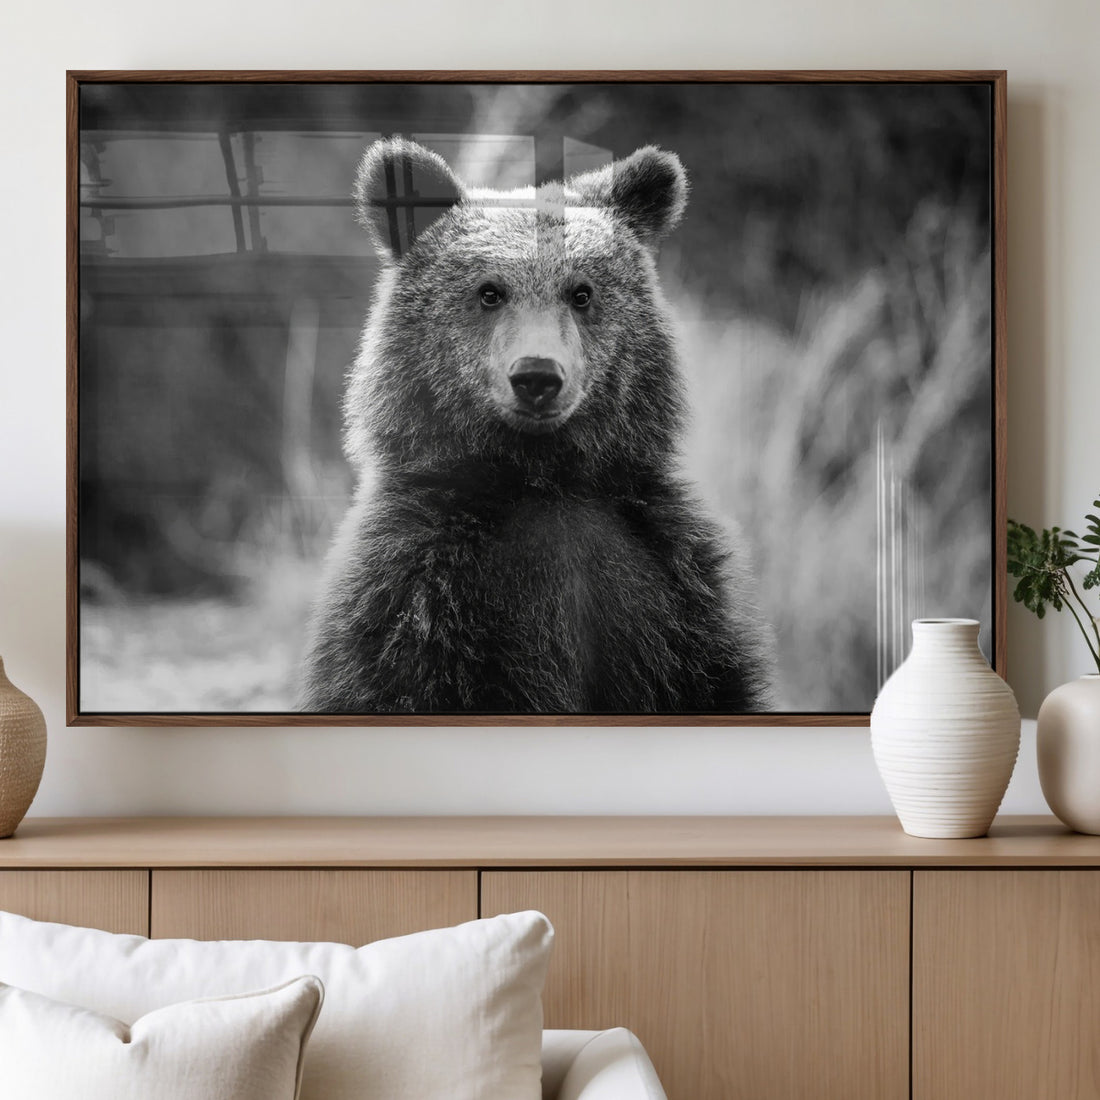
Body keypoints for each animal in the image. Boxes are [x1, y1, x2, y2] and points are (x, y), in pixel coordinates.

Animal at [299, 137, 774, 715]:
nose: (537, 376)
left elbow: (713, 681)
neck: (543, 479)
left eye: (581, 292)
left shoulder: (673, 587)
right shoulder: (412, 594)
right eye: (489, 291)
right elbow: (388, 681)